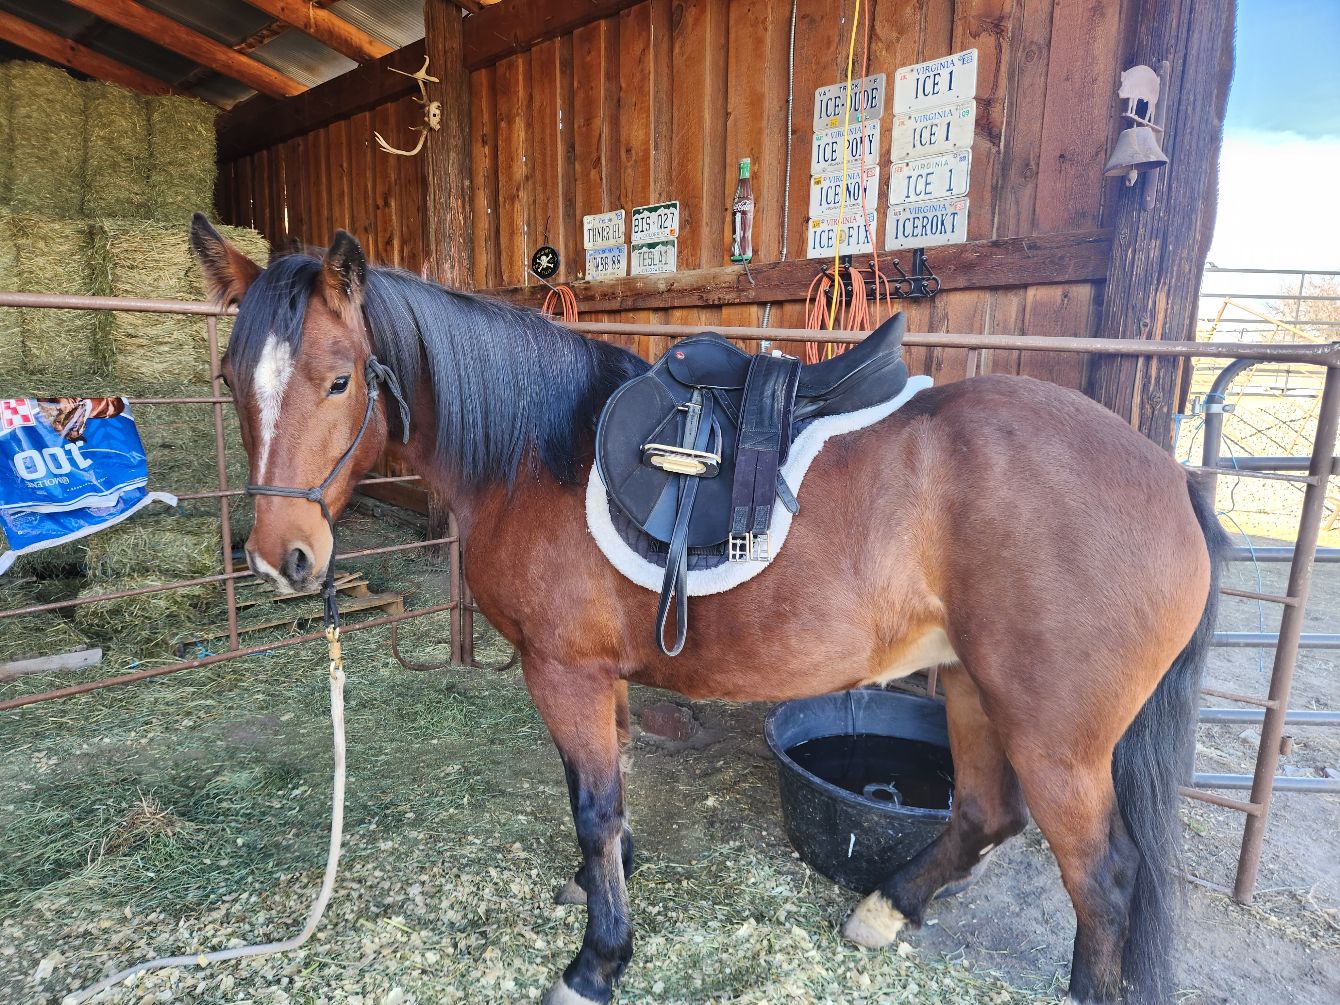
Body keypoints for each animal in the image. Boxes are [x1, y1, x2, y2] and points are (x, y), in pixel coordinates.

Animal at [189, 215, 1226, 1005]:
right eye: (233, 381)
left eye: (339, 378)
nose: (282, 558)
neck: (536, 452)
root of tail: (1170, 475)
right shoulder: (598, 675)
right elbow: (609, 789)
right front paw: (603, 886)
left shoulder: (562, 669)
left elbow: (595, 803)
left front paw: (598, 960)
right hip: (971, 684)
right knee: (983, 810)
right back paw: (886, 905)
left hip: (1057, 736)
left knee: (1103, 880)